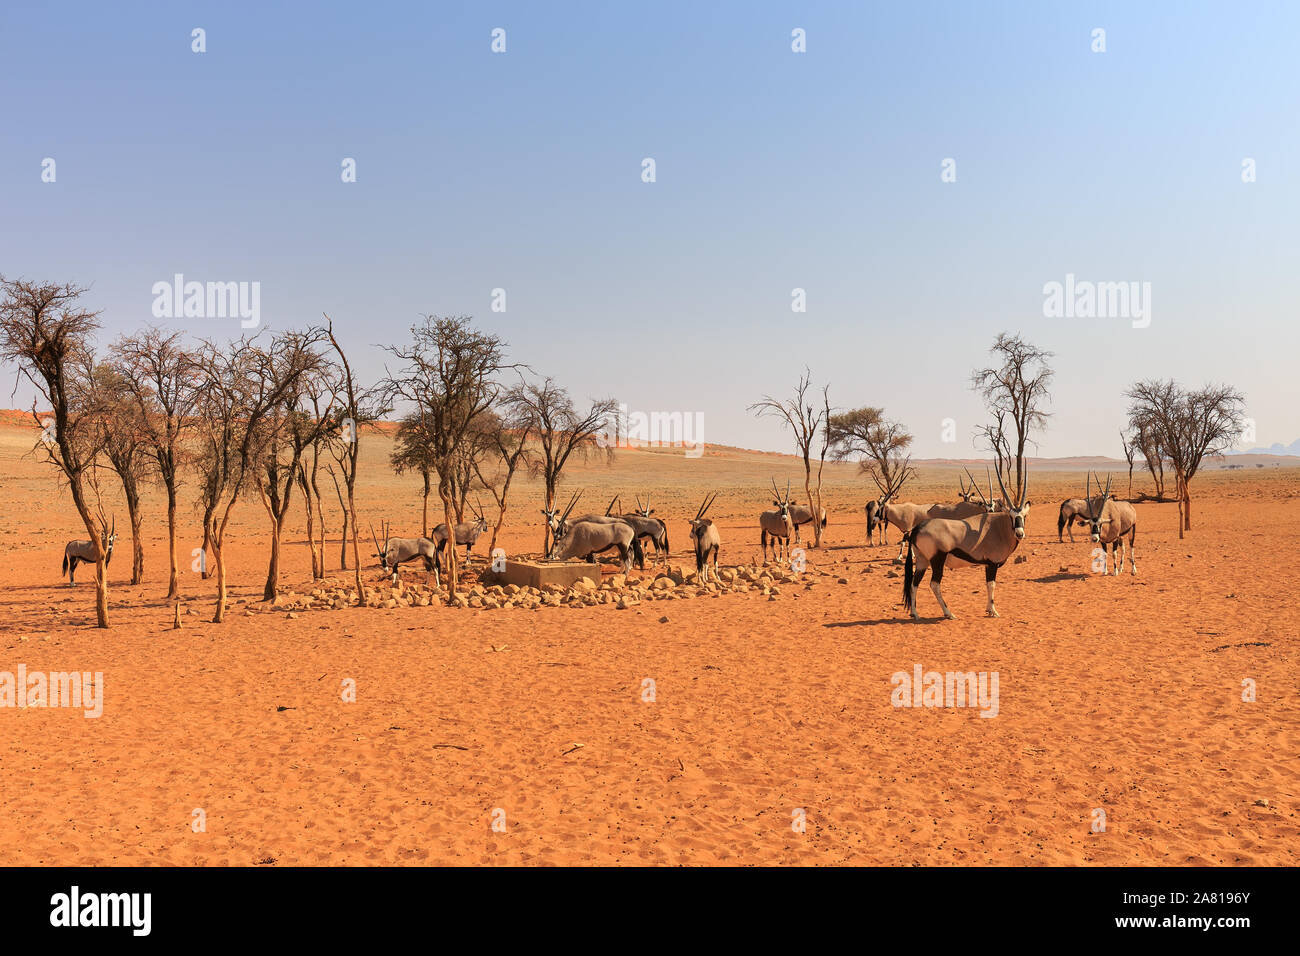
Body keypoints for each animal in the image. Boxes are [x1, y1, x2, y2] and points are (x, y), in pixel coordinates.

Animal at [899, 468, 1029, 621]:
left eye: (1024, 516)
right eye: (1011, 516)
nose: (1019, 533)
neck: (999, 527)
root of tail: (917, 528)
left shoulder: (987, 564)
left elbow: (987, 584)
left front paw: (988, 609)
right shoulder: (992, 564)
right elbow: (991, 585)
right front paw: (993, 611)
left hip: (922, 560)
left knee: (914, 583)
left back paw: (915, 613)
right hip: (937, 560)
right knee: (934, 584)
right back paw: (948, 613)